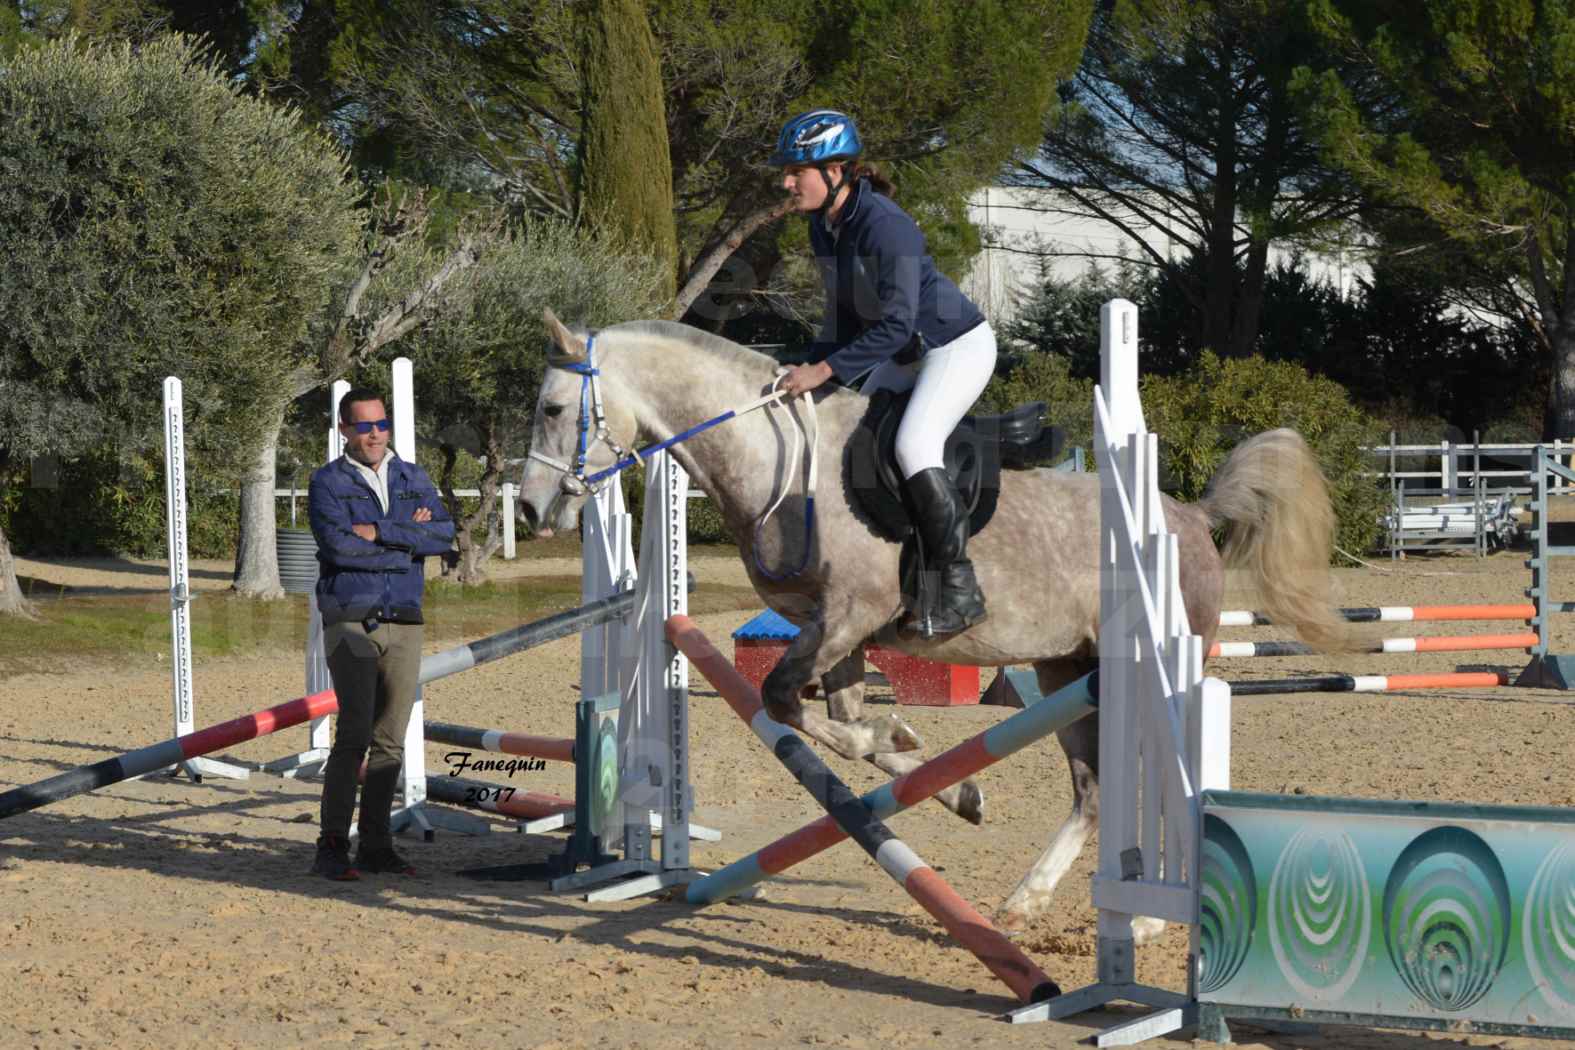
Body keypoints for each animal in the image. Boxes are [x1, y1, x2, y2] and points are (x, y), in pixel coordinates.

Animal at [516, 310, 1341, 925]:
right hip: (1064, 671)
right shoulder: (836, 633)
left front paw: (894, 735)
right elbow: (831, 724)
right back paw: (1027, 900)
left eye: (552, 409)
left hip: (1144, 666)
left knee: (1155, 774)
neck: (777, 460)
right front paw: (950, 784)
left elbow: (788, 702)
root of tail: (1190, 516)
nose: (529, 509)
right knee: (1090, 791)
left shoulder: (852, 615)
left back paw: (1142, 922)